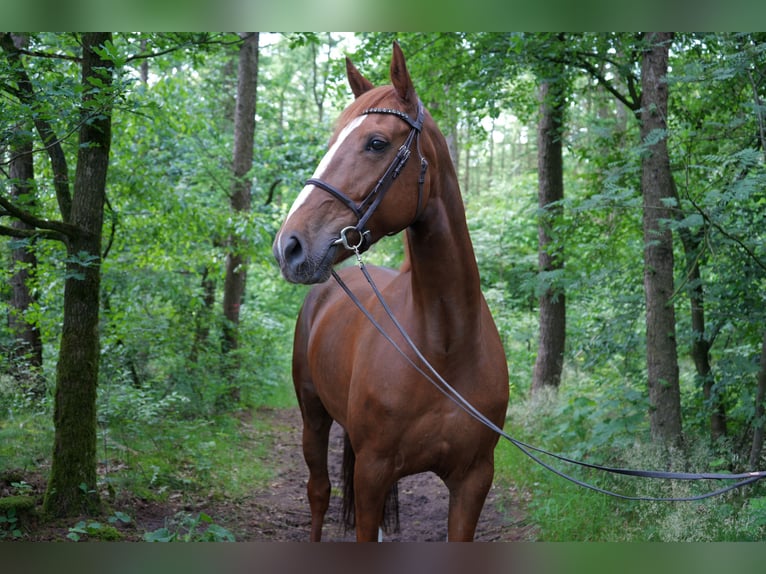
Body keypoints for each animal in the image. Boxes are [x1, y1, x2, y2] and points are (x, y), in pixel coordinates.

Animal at [276, 42, 510, 544]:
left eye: (377, 143)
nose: (288, 246)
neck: (444, 347)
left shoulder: (474, 480)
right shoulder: (372, 473)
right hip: (313, 416)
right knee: (319, 492)